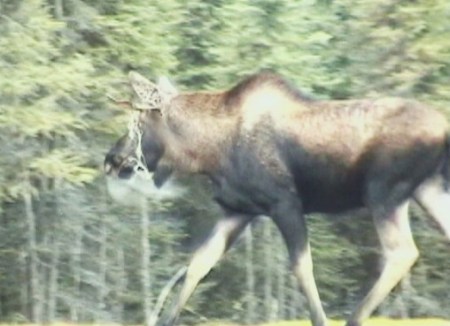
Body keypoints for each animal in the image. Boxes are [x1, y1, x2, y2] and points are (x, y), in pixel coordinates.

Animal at [103, 71, 450, 326]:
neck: (208, 152)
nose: (111, 159)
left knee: (401, 252)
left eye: (137, 125)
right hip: (428, 189)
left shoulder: (285, 203)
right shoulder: (237, 210)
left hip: (384, 191)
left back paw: (354, 318)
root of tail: (444, 129)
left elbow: (301, 267)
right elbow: (199, 264)